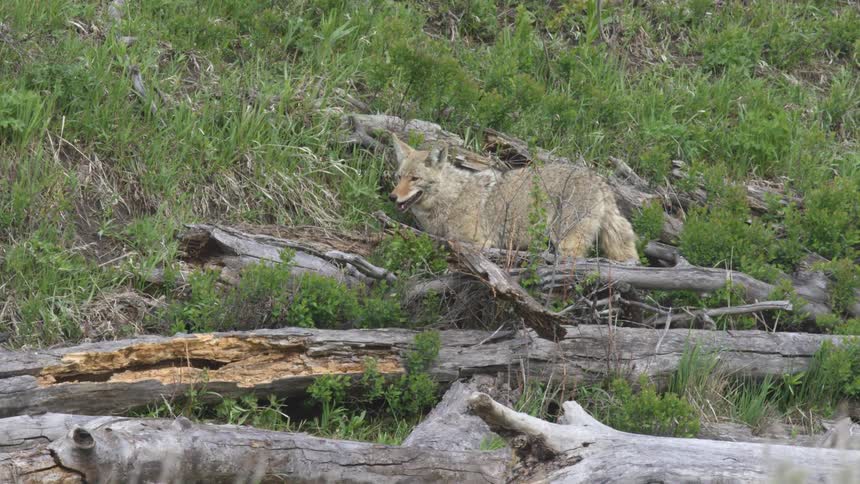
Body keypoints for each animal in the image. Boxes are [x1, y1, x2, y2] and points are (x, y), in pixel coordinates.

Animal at [387, 133, 638, 262]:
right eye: (399, 177)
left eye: (414, 179)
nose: (391, 197)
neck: (451, 198)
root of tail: (599, 179)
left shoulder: (478, 244)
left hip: (565, 242)